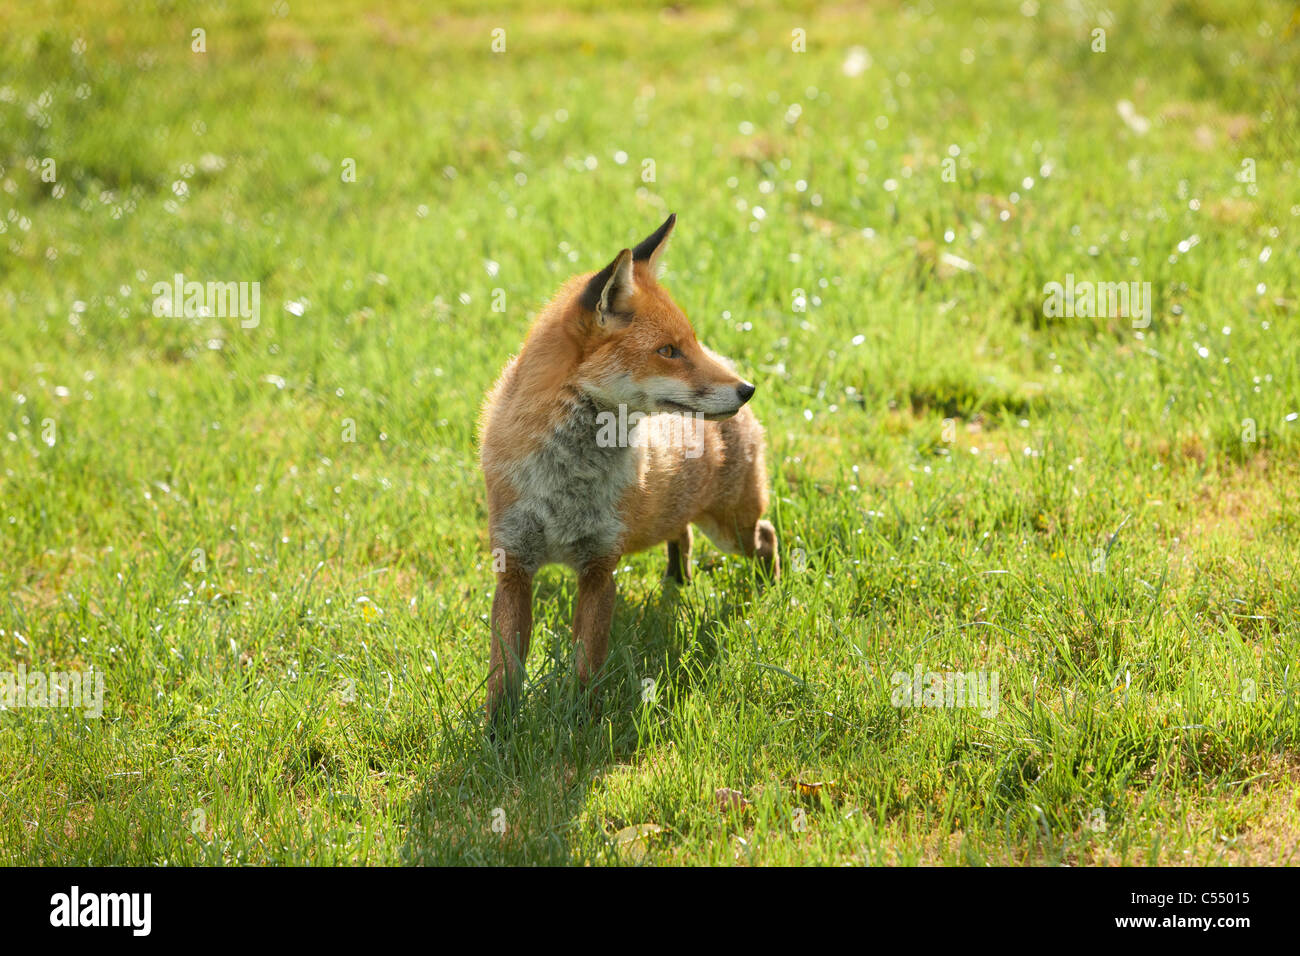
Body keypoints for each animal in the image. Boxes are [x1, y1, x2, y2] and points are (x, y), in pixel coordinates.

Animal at [480, 213, 774, 723]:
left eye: (691, 343)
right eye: (669, 351)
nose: (747, 389)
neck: (566, 481)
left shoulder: (600, 566)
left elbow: (586, 668)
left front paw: (583, 725)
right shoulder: (513, 564)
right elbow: (505, 670)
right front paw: (497, 730)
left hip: (733, 530)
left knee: (767, 536)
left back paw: (772, 590)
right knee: (682, 535)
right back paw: (679, 579)